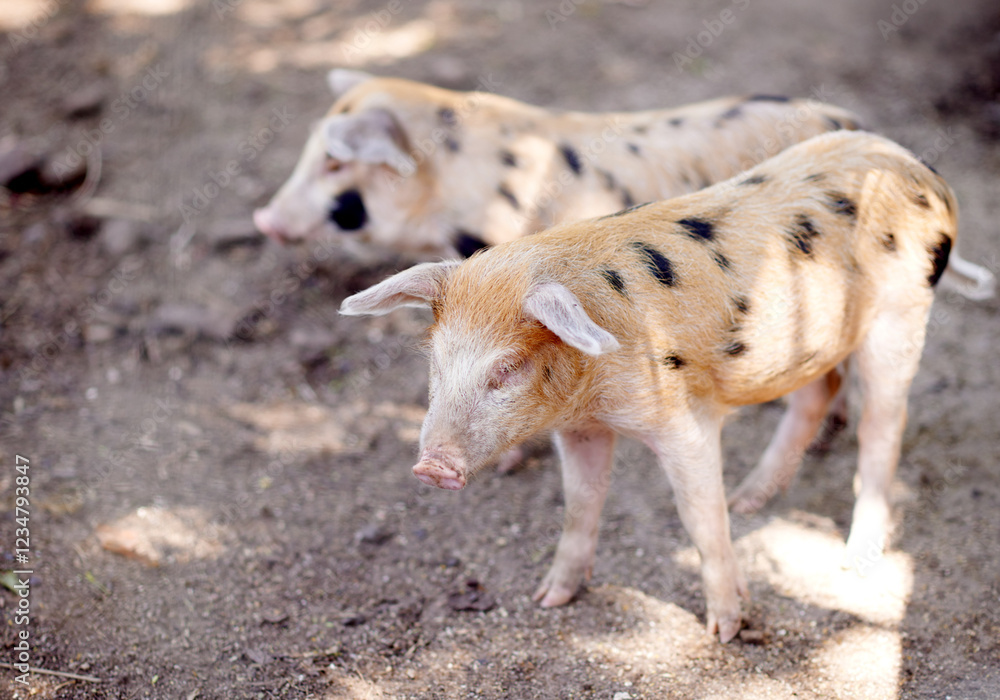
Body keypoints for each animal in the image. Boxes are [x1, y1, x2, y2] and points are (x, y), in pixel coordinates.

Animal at [340, 130, 972, 642]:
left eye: (506, 368)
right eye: (435, 362)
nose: (431, 467)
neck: (591, 395)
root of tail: (921, 169)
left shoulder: (681, 422)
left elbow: (700, 518)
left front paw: (725, 630)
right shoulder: (582, 430)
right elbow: (580, 505)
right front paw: (549, 598)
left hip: (901, 317)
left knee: (883, 426)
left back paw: (852, 560)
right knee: (820, 390)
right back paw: (750, 498)